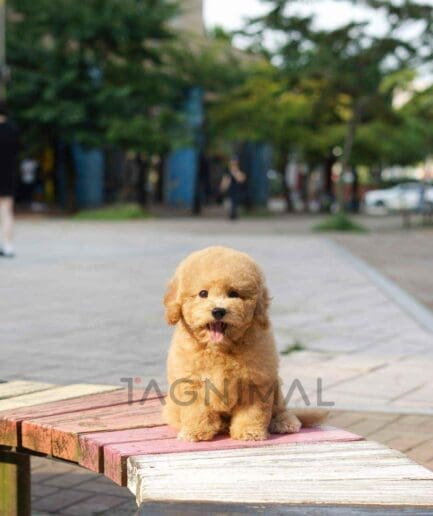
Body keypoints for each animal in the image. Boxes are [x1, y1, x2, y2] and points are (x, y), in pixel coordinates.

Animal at [162, 248, 324, 442]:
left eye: (233, 294)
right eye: (202, 293)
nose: (218, 311)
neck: (219, 349)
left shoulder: (255, 382)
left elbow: (252, 412)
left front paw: (249, 432)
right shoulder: (191, 382)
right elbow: (197, 410)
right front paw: (196, 432)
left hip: (276, 387)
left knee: (281, 409)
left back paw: (284, 422)